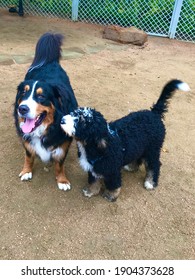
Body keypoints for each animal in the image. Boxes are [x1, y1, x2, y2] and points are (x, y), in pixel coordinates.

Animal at [13, 32, 77, 190]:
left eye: (41, 96)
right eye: (23, 93)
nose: (22, 109)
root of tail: (49, 62)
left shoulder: (63, 141)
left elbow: (60, 163)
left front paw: (62, 180)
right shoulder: (26, 137)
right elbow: (28, 156)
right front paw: (26, 171)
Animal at [60, 79, 189, 201]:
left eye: (82, 121)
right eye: (74, 113)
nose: (62, 120)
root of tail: (154, 113)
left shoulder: (112, 170)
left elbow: (114, 185)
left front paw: (111, 196)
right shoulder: (94, 169)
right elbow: (93, 181)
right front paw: (90, 191)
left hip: (152, 150)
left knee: (154, 165)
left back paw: (150, 182)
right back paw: (131, 167)